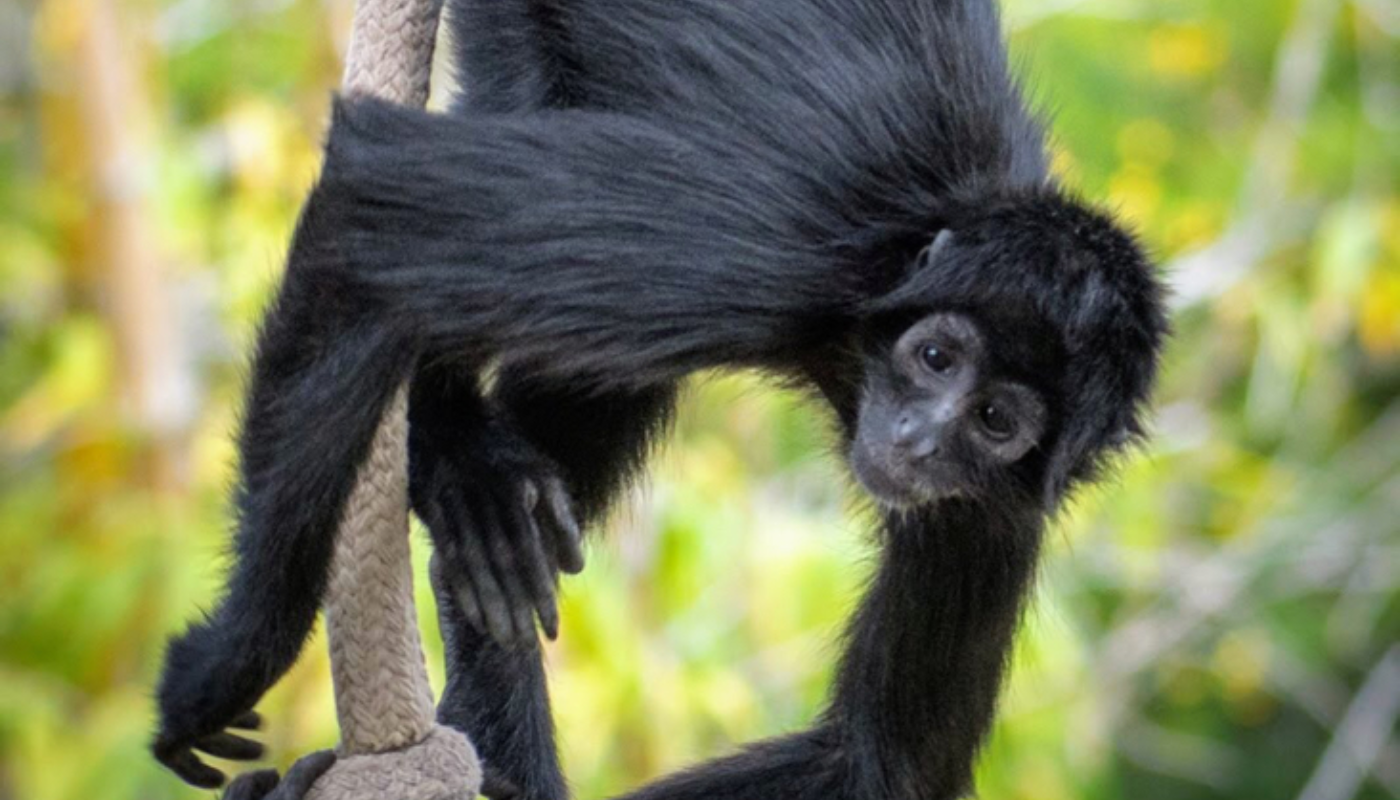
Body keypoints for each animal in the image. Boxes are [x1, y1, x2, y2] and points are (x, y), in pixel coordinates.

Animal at [151, 1, 1170, 798]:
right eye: (935, 357)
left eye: (995, 420)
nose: (920, 439)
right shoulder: (786, 245)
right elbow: (374, 191)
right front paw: (222, 668)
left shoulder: (992, 509)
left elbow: (878, 761)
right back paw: (461, 465)